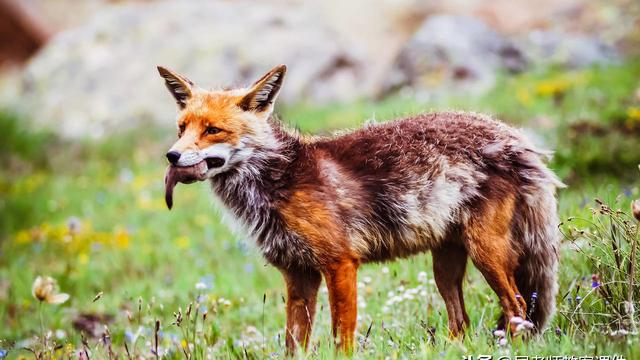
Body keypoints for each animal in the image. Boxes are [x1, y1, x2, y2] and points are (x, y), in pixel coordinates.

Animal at [158, 64, 564, 352]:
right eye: (181, 128)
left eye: (213, 130)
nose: (172, 156)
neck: (277, 179)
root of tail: (514, 136)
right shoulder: (298, 273)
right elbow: (293, 343)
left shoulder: (340, 263)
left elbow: (342, 337)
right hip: (446, 266)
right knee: (461, 322)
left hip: (486, 253)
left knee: (518, 308)